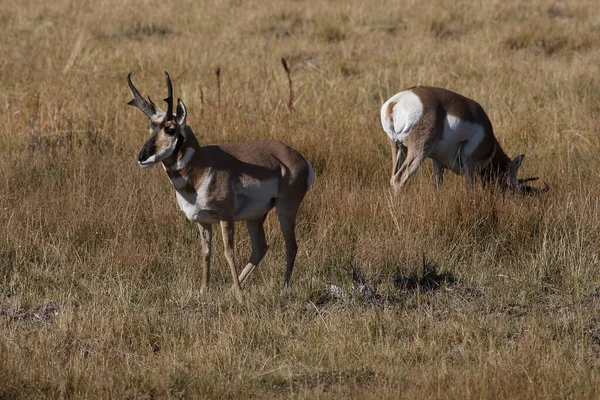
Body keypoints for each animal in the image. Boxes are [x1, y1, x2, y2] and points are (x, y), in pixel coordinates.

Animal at [126, 72, 314, 298]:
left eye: (170, 129)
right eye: (150, 128)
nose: (142, 157)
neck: (202, 166)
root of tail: (296, 156)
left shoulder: (226, 217)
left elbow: (228, 252)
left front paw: (240, 296)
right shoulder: (202, 221)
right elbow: (206, 253)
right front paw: (203, 290)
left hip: (285, 208)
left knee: (291, 245)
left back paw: (282, 288)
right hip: (255, 216)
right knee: (260, 247)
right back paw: (235, 287)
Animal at [382, 86, 548, 195]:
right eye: (514, 184)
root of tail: (395, 102)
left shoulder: (437, 162)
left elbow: (438, 186)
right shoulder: (470, 162)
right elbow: (471, 187)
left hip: (399, 148)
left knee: (392, 177)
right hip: (419, 151)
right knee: (398, 179)